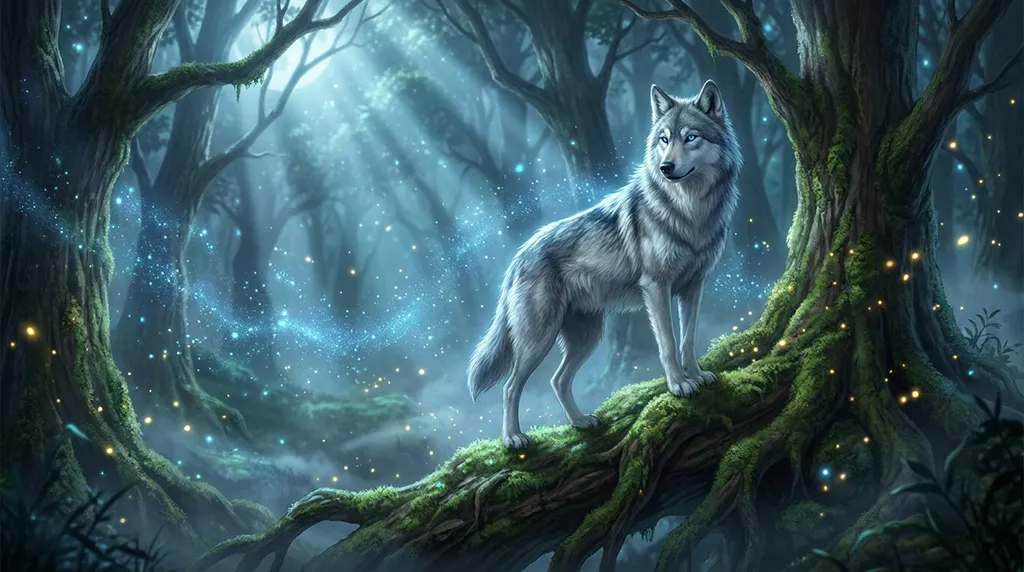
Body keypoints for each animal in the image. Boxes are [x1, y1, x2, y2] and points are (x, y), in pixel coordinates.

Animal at [468, 80, 741, 449]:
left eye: (690, 137)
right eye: (664, 139)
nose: (666, 168)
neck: (690, 211)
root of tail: (518, 256)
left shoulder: (694, 287)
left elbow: (688, 339)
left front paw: (696, 375)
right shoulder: (656, 288)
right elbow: (669, 344)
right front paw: (679, 385)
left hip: (587, 336)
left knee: (557, 380)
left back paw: (580, 422)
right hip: (538, 339)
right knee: (511, 386)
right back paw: (512, 438)